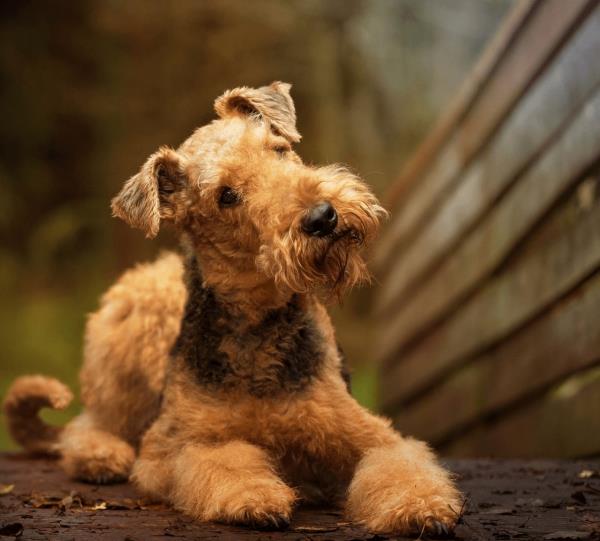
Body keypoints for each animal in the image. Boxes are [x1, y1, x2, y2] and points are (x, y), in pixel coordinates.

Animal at [3, 81, 460, 536]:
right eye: (226, 195)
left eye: (278, 148)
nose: (322, 217)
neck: (258, 324)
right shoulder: (175, 446)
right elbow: (224, 461)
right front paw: (253, 497)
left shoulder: (371, 434)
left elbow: (397, 463)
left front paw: (422, 505)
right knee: (88, 424)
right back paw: (101, 456)